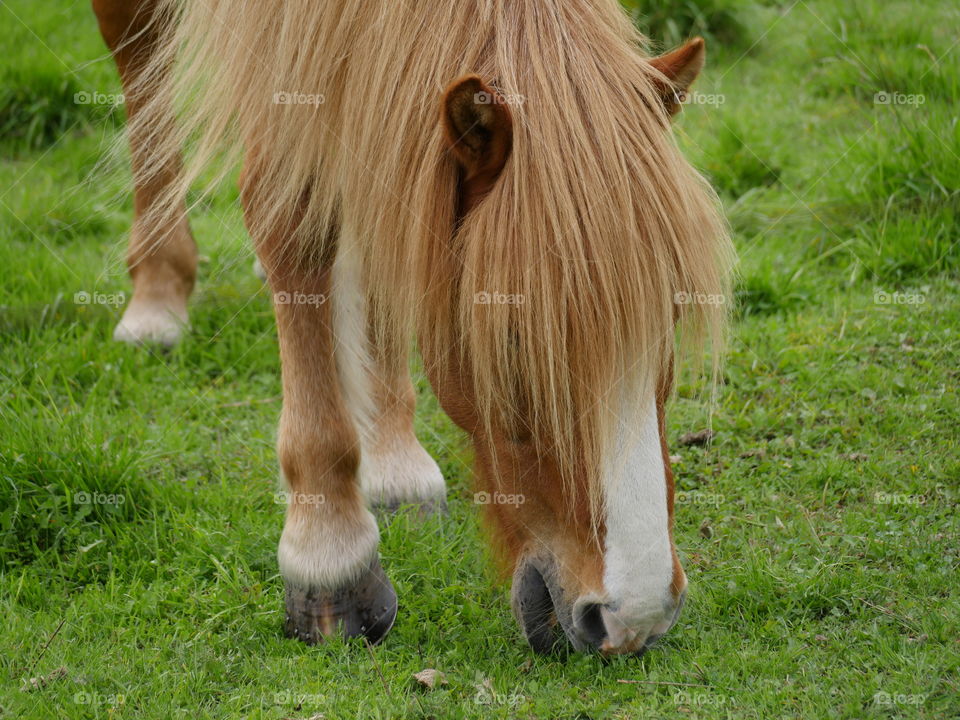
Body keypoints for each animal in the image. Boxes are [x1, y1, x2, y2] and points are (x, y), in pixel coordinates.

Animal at [94, 0, 732, 656]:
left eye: (669, 321)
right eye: (514, 338)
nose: (636, 617)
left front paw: (394, 467)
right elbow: (292, 206)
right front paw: (330, 555)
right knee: (138, 53)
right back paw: (157, 292)